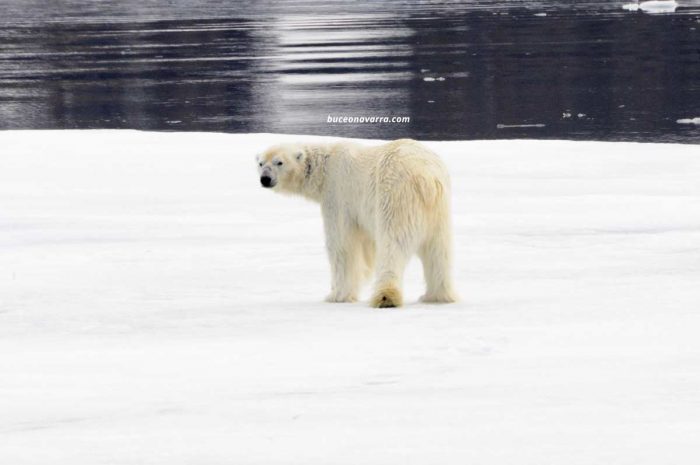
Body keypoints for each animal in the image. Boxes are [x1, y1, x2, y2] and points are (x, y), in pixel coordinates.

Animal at [256, 138, 457, 308]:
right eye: (260, 163)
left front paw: (336, 295)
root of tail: (427, 178)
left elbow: (341, 245)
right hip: (440, 211)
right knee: (439, 251)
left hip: (395, 198)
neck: (325, 167)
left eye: (279, 162)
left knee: (392, 245)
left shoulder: (338, 194)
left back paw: (386, 297)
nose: (265, 179)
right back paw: (436, 296)